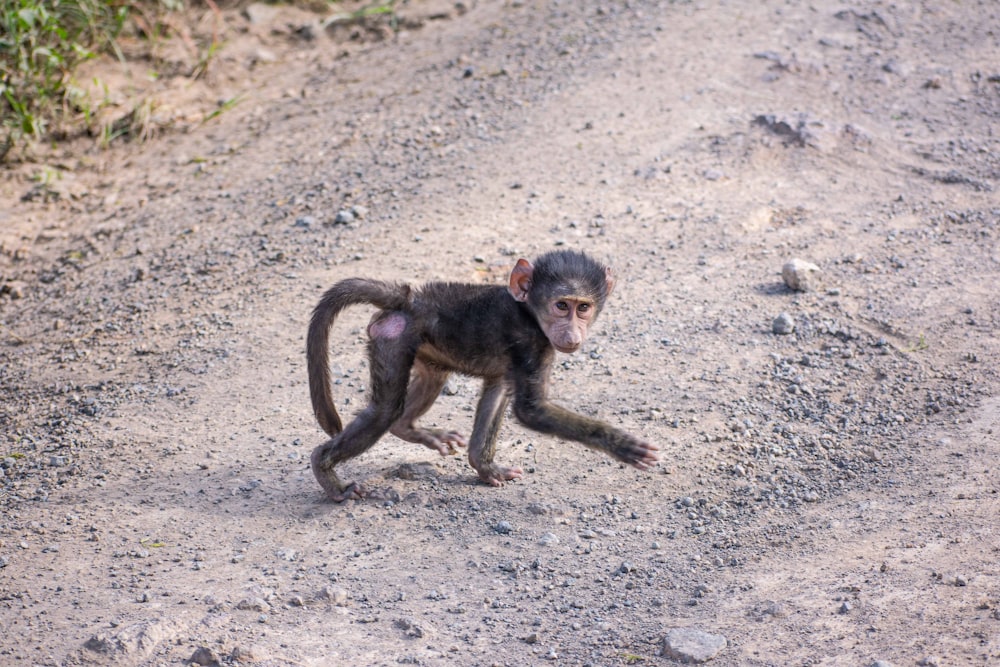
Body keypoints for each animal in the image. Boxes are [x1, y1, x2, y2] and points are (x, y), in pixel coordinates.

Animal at [308, 250, 660, 500]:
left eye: (583, 307)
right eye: (562, 305)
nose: (573, 335)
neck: (528, 311)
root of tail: (410, 299)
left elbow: (498, 391)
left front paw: (485, 467)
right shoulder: (531, 344)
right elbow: (530, 411)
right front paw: (622, 444)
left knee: (425, 386)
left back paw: (409, 428)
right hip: (393, 337)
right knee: (384, 411)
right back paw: (329, 475)